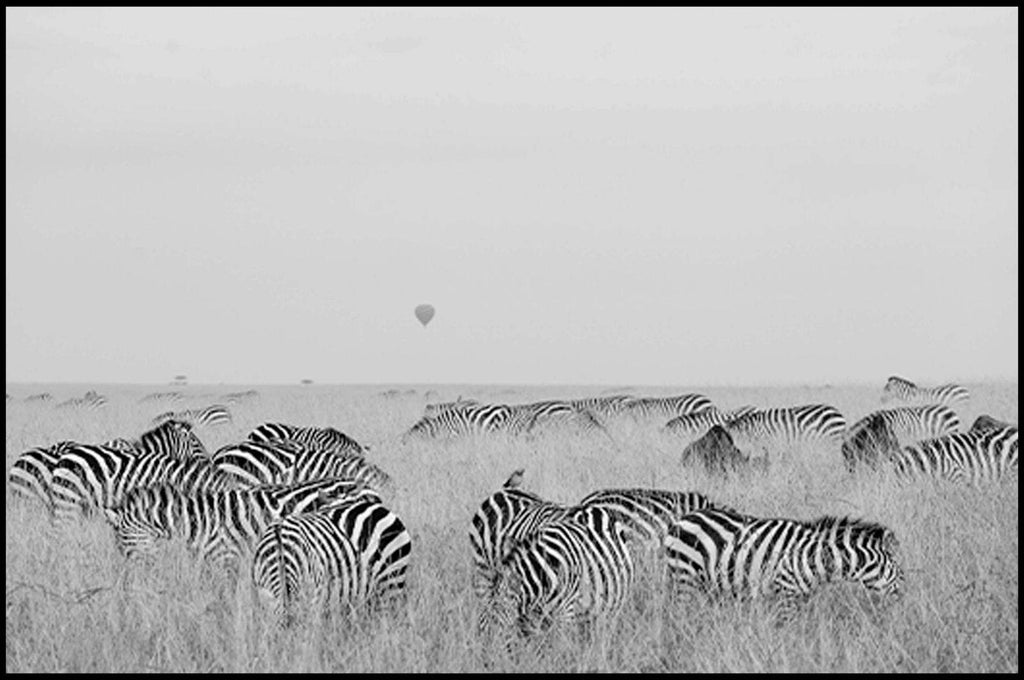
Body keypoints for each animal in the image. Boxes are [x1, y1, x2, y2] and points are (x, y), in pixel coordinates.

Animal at [663, 507, 904, 623]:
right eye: (901, 574)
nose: (902, 604)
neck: (815, 558)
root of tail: (681, 519)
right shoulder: (786, 593)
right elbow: (789, 630)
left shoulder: (803, 597)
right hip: (685, 577)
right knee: (681, 613)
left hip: (708, 584)